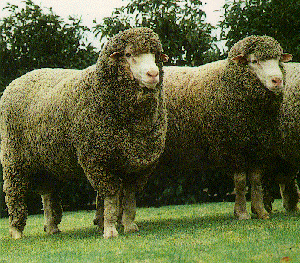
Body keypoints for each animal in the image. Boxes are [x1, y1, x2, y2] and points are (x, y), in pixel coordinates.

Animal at [0, 27, 169, 241]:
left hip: (47, 163)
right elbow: (111, 198)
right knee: (15, 194)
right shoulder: (98, 160)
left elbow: (129, 198)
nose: (153, 74)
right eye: (129, 55)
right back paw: (16, 231)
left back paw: (52, 227)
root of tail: (16, 81)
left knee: (48, 194)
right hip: (14, 161)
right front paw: (110, 230)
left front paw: (129, 226)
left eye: (156, 55)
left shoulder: (139, 165)